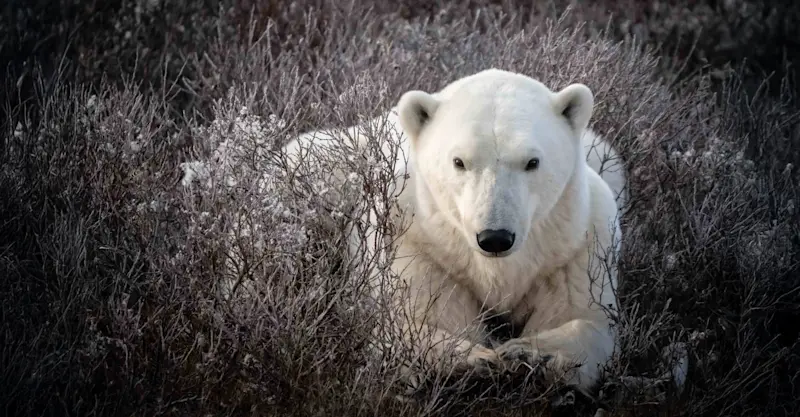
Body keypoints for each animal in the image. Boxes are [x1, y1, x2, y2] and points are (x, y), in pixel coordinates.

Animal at [282, 68, 628, 396]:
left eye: (532, 162)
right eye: (459, 161)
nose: (495, 237)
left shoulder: (572, 249)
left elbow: (583, 319)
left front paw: (527, 355)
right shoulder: (420, 245)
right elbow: (413, 323)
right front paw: (475, 361)